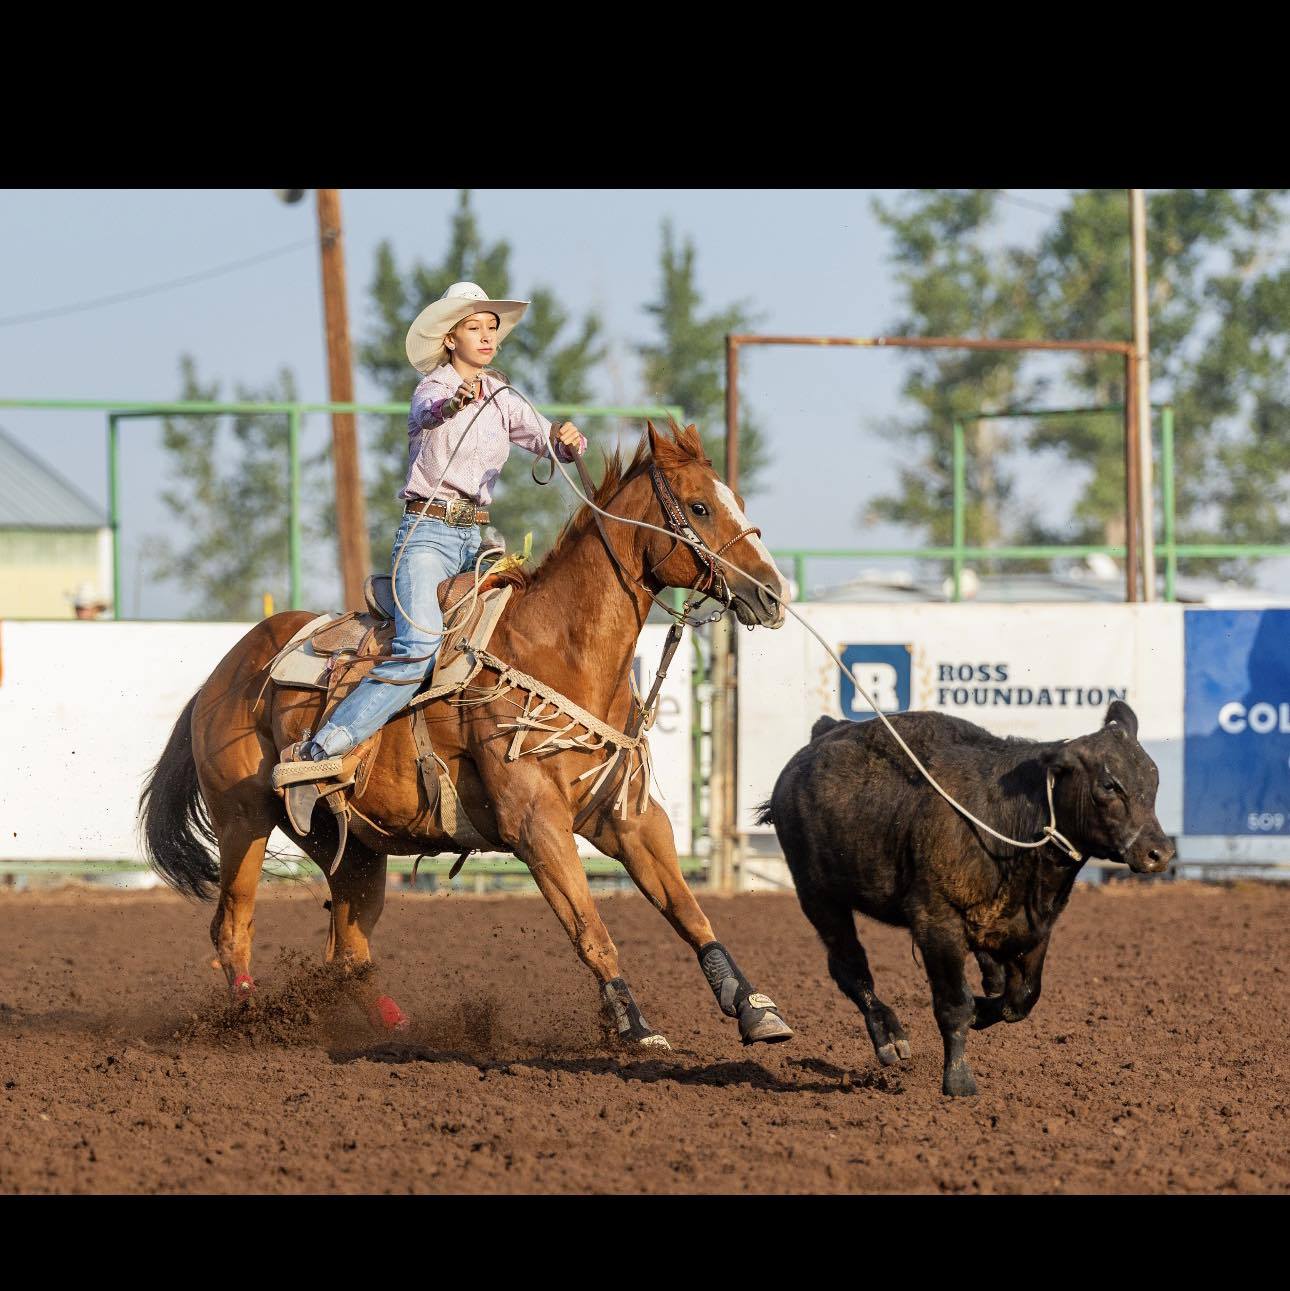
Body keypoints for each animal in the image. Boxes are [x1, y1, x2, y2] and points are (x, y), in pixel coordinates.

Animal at [757, 700, 1173, 1096]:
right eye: (1109, 785)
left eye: (1153, 780)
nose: (1160, 852)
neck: (1006, 822)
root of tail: (821, 737)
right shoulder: (937, 922)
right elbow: (955, 1004)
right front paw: (958, 1080)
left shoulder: (1037, 928)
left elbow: (1021, 998)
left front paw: (984, 1012)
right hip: (818, 896)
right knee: (849, 967)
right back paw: (889, 1036)